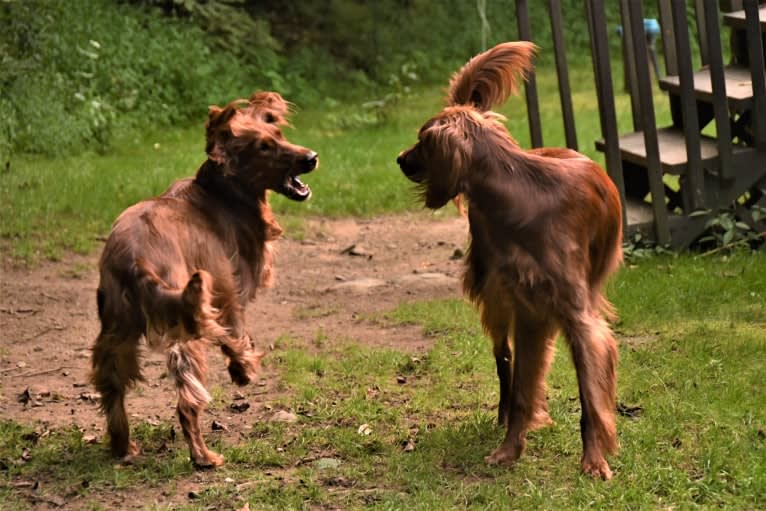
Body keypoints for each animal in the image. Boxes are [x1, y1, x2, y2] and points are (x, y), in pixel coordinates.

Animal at [92, 91, 318, 468]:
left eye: (279, 134)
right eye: (263, 147)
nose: (311, 157)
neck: (220, 193)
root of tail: (136, 259)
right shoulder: (227, 293)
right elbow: (235, 334)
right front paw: (243, 369)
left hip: (117, 333)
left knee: (112, 389)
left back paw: (124, 447)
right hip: (185, 334)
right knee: (187, 402)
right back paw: (203, 457)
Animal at [400, 43, 628, 480]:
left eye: (421, 140)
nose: (400, 158)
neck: (518, 192)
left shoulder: (576, 317)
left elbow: (591, 396)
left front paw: (593, 461)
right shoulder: (528, 311)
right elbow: (523, 387)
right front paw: (509, 449)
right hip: (492, 293)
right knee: (503, 358)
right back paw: (503, 415)